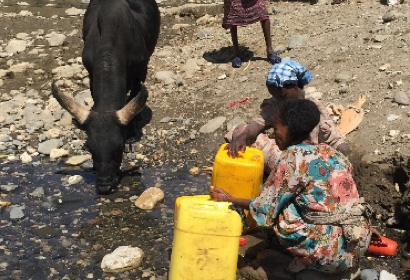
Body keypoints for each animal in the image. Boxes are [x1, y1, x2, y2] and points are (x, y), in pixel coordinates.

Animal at [51, 0, 160, 194]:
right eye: (90, 148)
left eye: (119, 147)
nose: (104, 185)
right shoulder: (90, 72)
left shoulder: (141, 71)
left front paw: (132, 134)